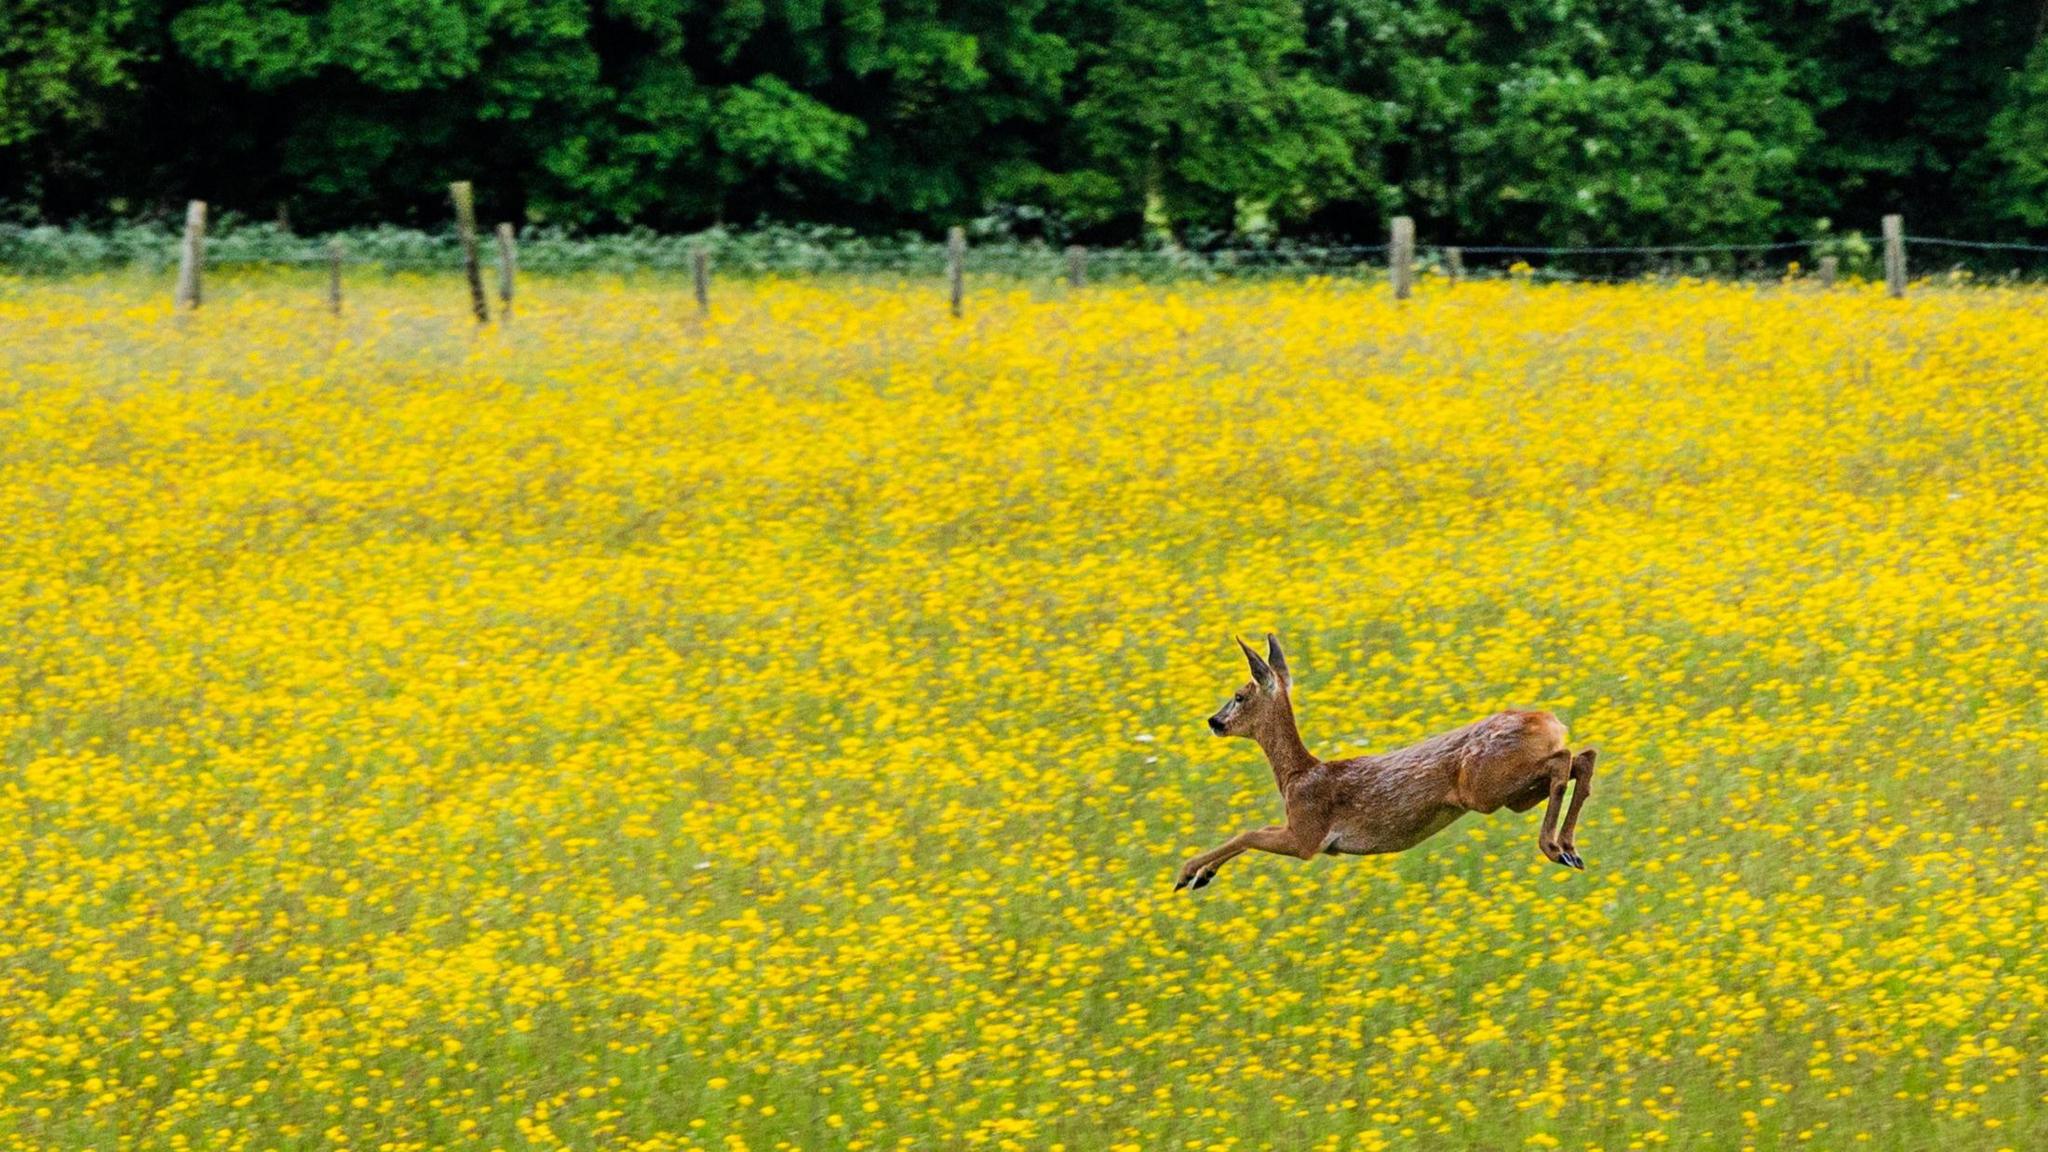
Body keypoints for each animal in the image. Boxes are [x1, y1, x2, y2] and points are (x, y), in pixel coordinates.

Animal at [1179, 627, 1589, 889]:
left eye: (1239, 695)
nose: (1213, 721)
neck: (1296, 776)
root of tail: (1550, 721)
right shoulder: (1302, 831)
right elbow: (1256, 831)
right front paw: (1202, 875)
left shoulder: (1308, 836)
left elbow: (1248, 833)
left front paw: (1188, 874)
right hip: (1512, 794)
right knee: (1581, 758)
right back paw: (1569, 850)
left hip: (1487, 787)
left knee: (1565, 759)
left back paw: (1555, 847)